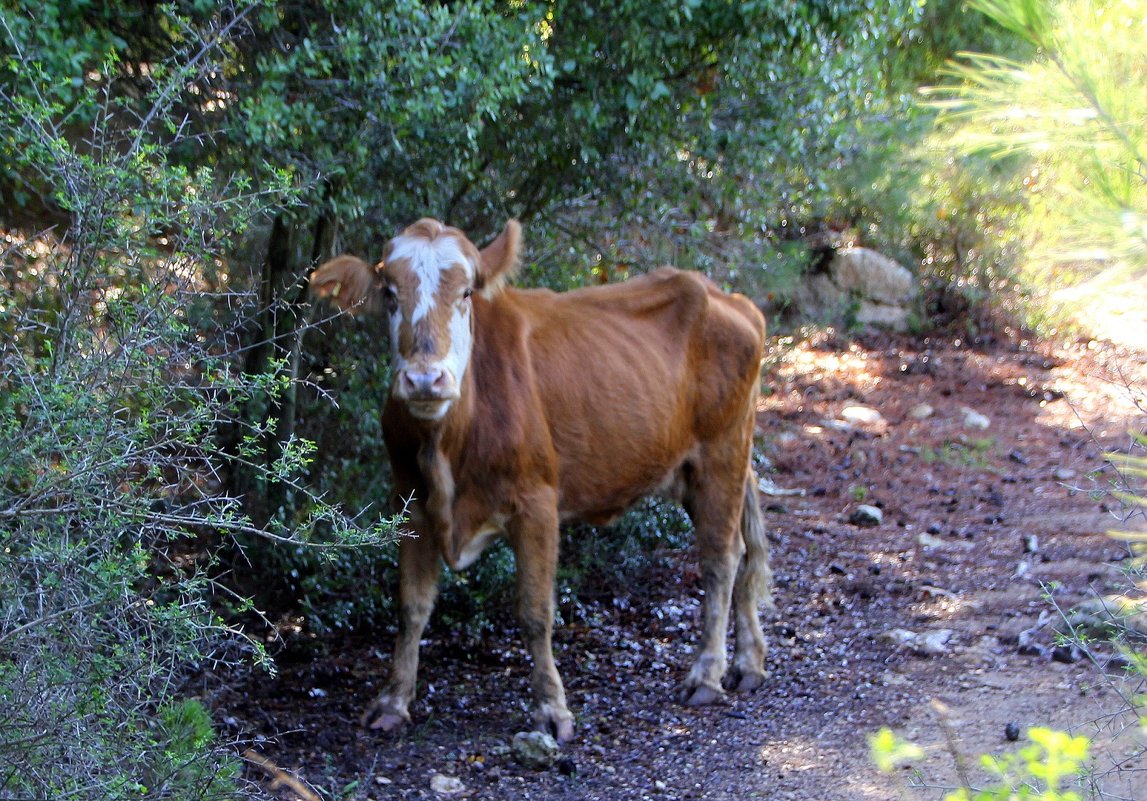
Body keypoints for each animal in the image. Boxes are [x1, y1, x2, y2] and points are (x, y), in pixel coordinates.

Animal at [309, 216, 775, 734]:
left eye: (466, 292)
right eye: (390, 292)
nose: (425, 379)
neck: (448, 442)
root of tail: (726, 296)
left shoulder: (537, 502)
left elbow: (535, 612)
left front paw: (551, 707)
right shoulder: (409, 500)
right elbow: (411, 606)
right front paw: (392, 700)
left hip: (722, 451)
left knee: (719, 559)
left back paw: (706, 674)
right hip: (698, 464)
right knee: (743, 545)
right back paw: (748, 663)